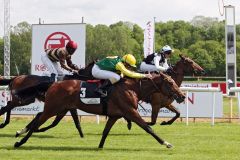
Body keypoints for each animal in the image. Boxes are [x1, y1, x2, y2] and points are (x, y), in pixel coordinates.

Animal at [13, 72, 186, 148]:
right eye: (170, 83)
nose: (182, 95)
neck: (132, 88)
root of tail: (54, 83)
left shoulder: (115, 115)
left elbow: (105, 132)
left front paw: (100, 147)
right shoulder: (131, 112)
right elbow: (148, 127)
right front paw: (166, 143)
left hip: (60, 108)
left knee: (38, 117)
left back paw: (21, 134)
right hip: (53, 108)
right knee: (37, 122)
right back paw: (20, 141)